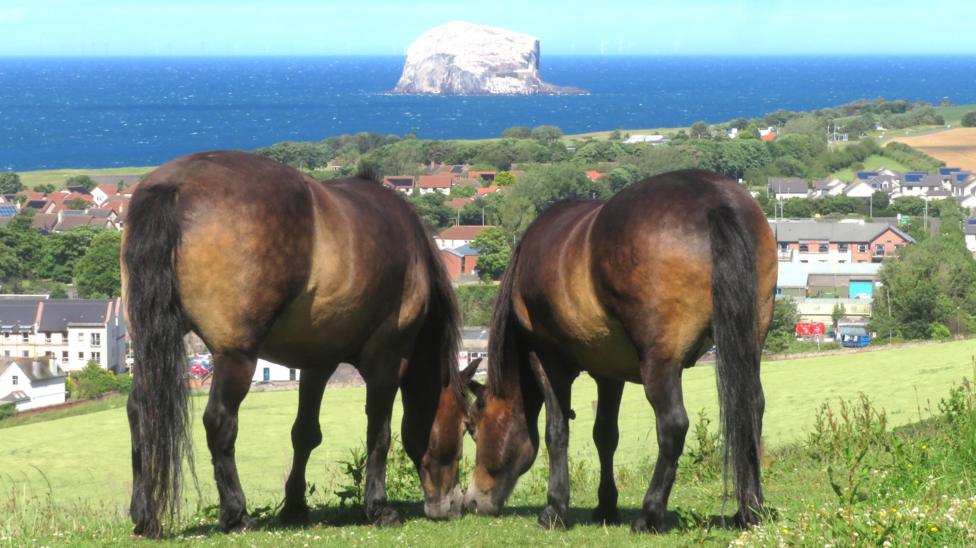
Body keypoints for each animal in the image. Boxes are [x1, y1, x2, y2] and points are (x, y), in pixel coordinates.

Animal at [122, 150, 476, 538]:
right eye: (464, 425)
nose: (452, 505)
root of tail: (176, 184)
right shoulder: (389, 358)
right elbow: (379, 433)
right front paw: (378, 507)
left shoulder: (317, 363)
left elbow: (305, 433)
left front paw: (294, 506)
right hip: (236, 357)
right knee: (220, 422)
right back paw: (236, 513)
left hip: (151, 347)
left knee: (140, 410)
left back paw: (145, 515)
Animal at [463, 169, 777, 532]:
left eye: (472, 428)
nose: (472, 501)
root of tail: (713, 198)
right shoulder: (608, 373)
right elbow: (605, 435)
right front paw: (605, 506)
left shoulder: (547, 361)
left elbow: (556, 432)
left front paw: (555, 508)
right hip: (749, 344)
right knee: (751, 409)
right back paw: (750, 508)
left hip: (660, 363)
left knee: (673, 425)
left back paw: (649, 514)